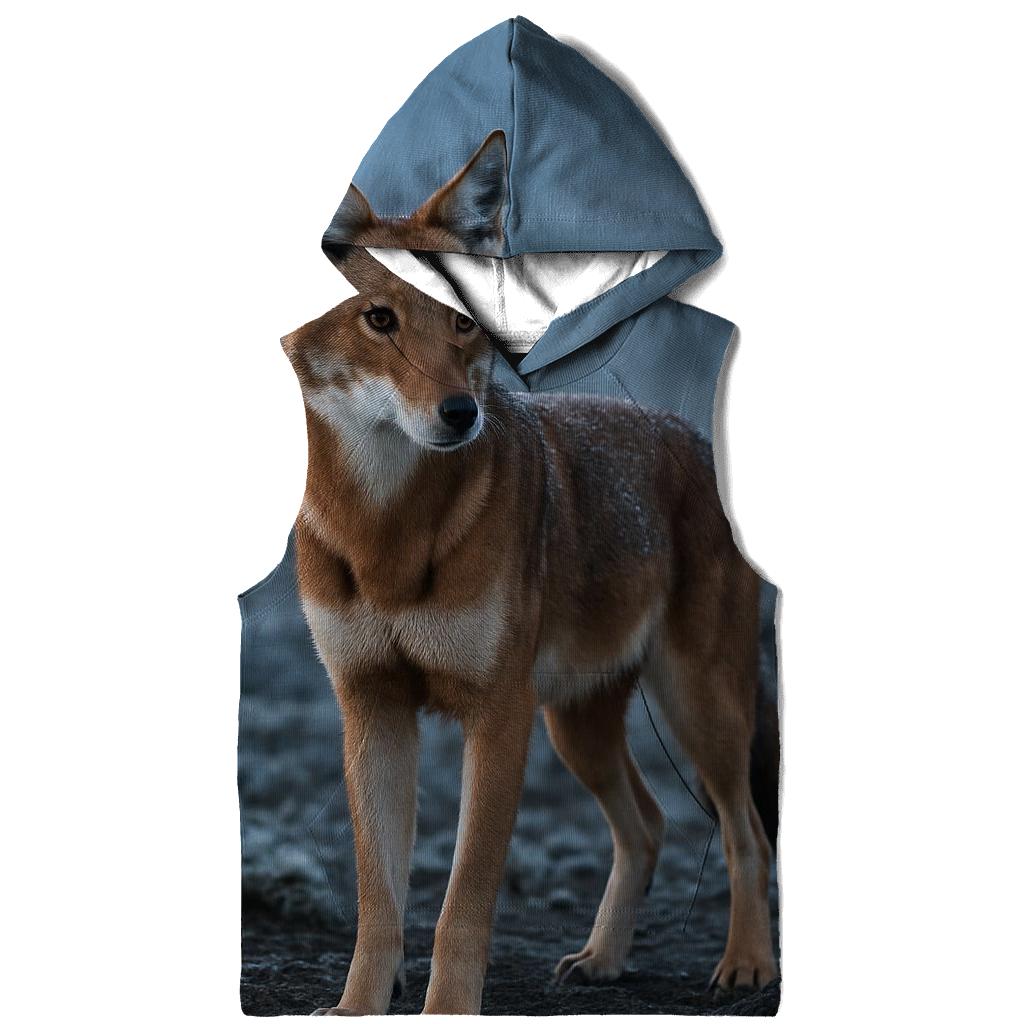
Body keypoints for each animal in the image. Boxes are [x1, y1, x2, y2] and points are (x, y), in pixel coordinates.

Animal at [284, 134, 778, 1015]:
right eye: (379, 319)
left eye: (462, 323)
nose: (461, 414)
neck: (386, 536)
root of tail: (689, 433)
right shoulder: (372, 710)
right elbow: (380, 899)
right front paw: (356, 1008)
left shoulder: (498, 715)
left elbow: (463, 899)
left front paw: (447, 1011)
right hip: (577, 725)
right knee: (648, 824)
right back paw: (602, 959)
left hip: (696, 709)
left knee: (743, 830)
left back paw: (747, 965)